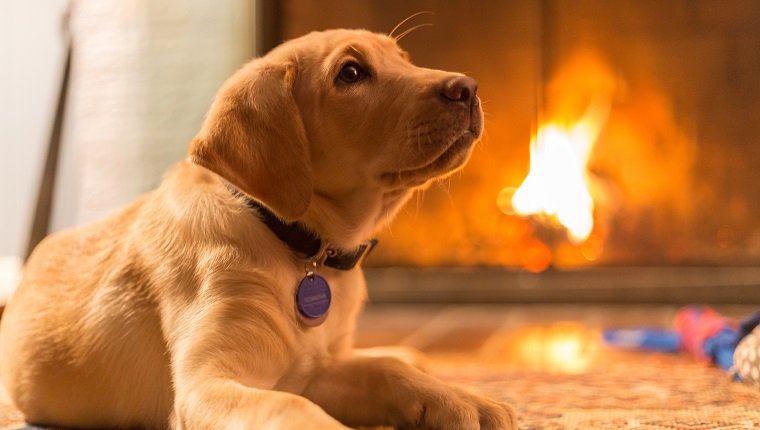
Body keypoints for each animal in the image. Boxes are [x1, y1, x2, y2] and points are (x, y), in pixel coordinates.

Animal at [0, 28, 516, 428]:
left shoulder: (314, 371)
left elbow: (385, 370)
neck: (297, 244)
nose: (467, 87)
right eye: (350, 74)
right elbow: (290, 410)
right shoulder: (207, 386)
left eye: (403, 59)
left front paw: (461, 399)